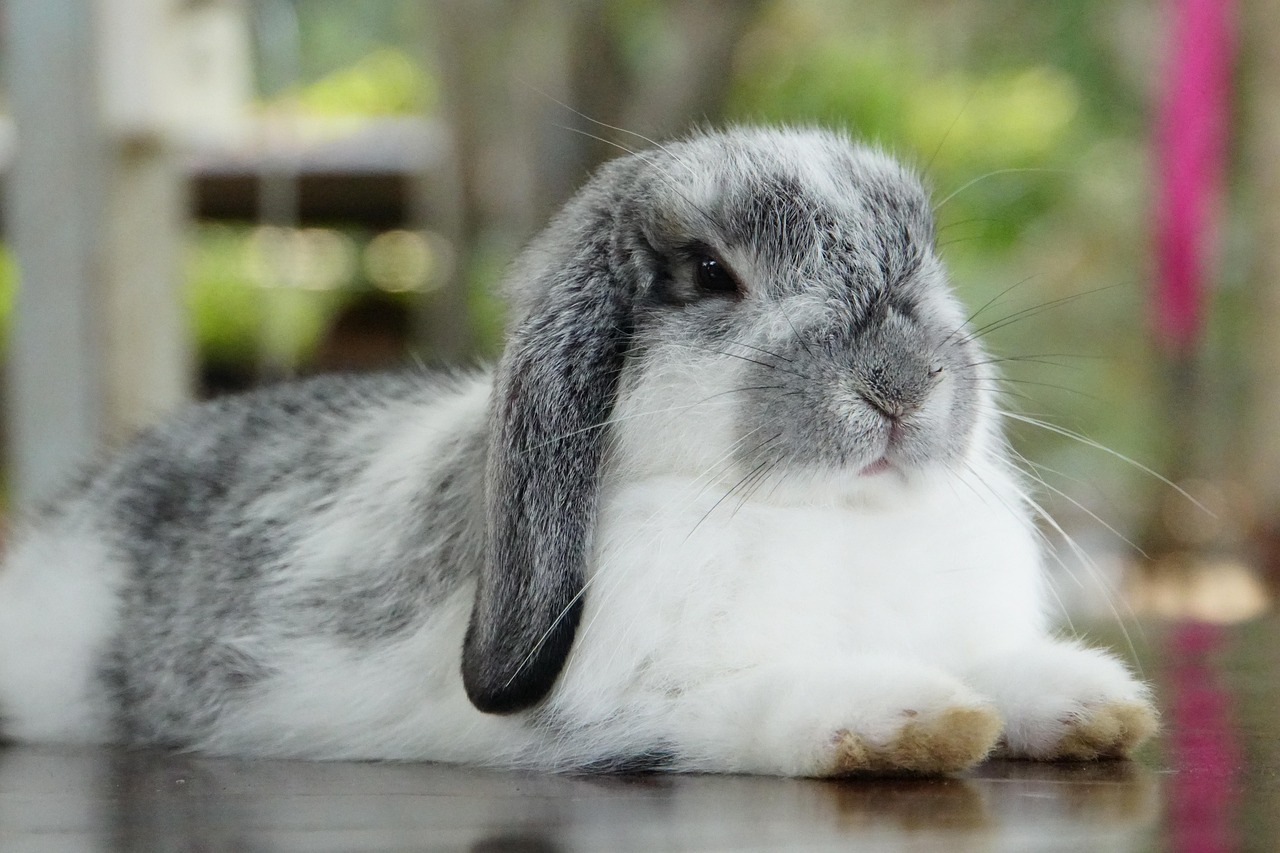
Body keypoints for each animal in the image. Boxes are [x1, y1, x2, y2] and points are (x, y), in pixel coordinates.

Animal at [0, 126, 1157, 776]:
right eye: (708, 271)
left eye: (922, 257)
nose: (900, 386)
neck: (826, 520)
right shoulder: (636, 712)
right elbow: (763, 703)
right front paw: (919, 721)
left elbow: (996, 665)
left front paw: (1090, 705)